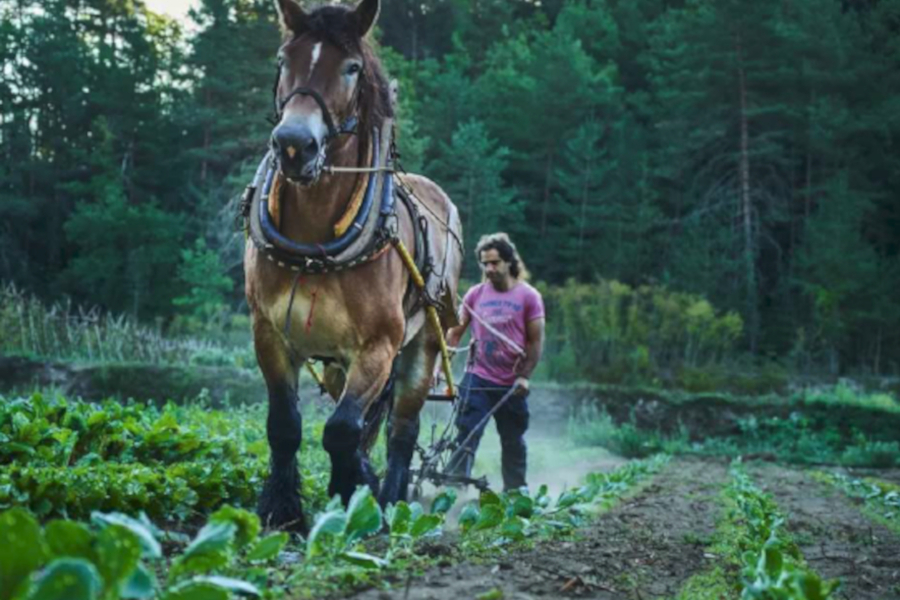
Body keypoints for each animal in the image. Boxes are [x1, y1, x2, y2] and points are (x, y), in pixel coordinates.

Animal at [243, 0, 460, 528]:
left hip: (422, 346)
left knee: (402, 429)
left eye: (352, 68)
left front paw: (356, 495)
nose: (294, 144)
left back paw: (394, 501)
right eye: (283, 60)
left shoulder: (379, 346)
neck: (314, 243)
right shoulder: (268, 333)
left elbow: (343, 429)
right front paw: (282, 510)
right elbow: (285, 425)